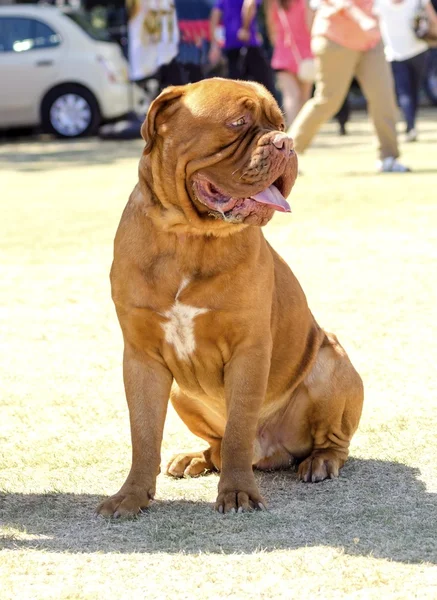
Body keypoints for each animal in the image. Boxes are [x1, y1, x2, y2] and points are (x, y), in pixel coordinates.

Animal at [97, 78, 362, 516]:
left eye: (280, 124)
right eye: (237, 122)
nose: (286, 142)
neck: (188, 236)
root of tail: (269, 453)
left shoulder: (248, 349)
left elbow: (239, 428)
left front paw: (237, 493)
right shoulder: (141, 356)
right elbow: (144, 435)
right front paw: (131, 496)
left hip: (332, 363)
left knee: (326, 441)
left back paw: (320, 461)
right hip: (180, 393)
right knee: (216, 445)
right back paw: (194, 458)